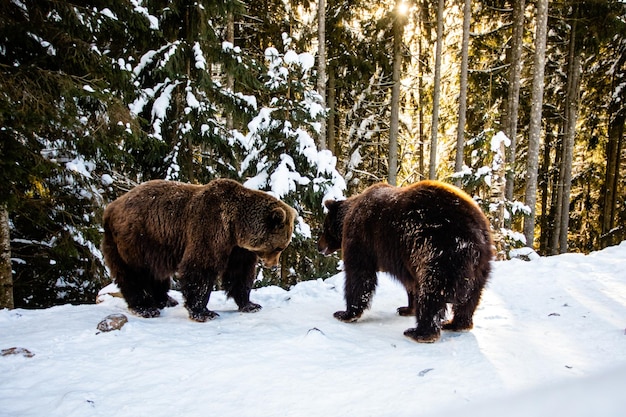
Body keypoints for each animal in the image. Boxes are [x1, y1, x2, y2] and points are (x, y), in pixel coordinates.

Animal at [101, 177, 296, 320]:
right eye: (279, 247)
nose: (273, 265)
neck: (235, 227)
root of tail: (110, 207)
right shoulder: (209, 228)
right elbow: (200, 268)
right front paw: (203, 311)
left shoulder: (237, 249)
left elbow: (239, 274)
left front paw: (250, 304)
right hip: (134, 240)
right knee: (132, 273)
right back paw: (145, 307)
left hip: (153, 246)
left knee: (155, 273)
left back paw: (166, 299)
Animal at [316, 179, 492, 342]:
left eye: (324, 227)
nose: (319, 246)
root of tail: (474, 233)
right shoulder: (406, 258)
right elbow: (411, 283)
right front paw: (406, 308)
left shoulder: (363, 238)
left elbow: (359, 274)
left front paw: (345, 313)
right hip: (481, 264)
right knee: (471, 296)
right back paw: (457, 323)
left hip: (438, 249)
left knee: (432, 291)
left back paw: (420, 332)